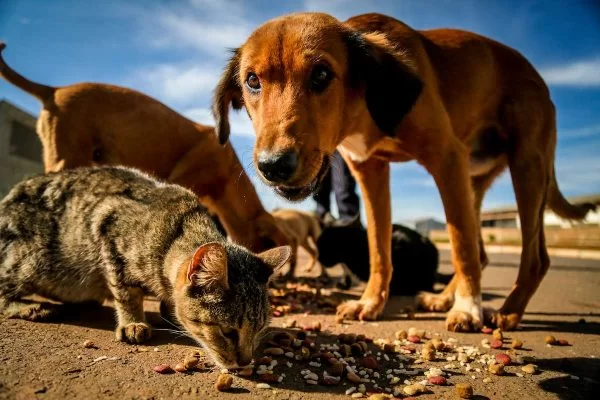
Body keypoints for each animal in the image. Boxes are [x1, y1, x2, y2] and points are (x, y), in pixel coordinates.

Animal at [0, 166, 290, 368]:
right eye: (228, 332)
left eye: (259, 329)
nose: (245, 362)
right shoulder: (108, 227)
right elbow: (126, 293)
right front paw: (132, 322)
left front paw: (168, 311)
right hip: (30, 261)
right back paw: (28, 307)